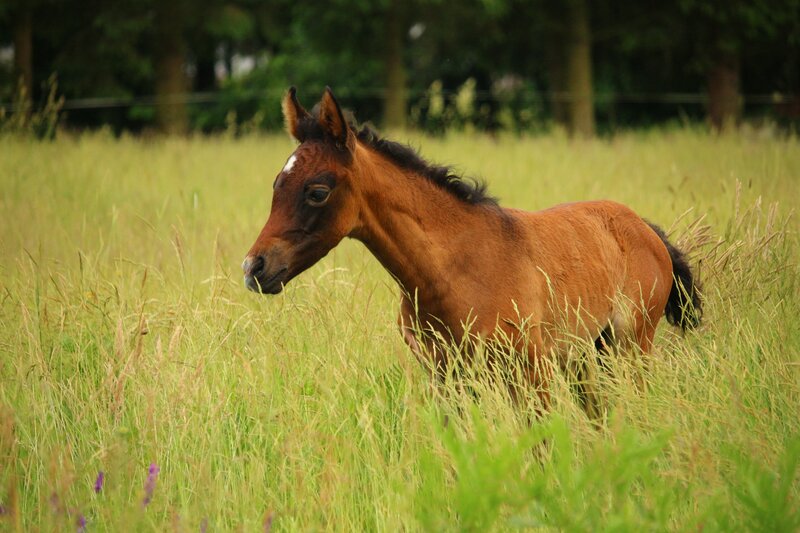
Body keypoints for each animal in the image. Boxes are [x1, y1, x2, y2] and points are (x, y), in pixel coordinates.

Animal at [242, 87, 702, 407]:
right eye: (276, 184)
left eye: (317, 192)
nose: (254, 268)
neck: (450, 271)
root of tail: (646, 229)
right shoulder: (448, 378)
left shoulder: (530, 372)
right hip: (590, 357)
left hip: (631, 348)